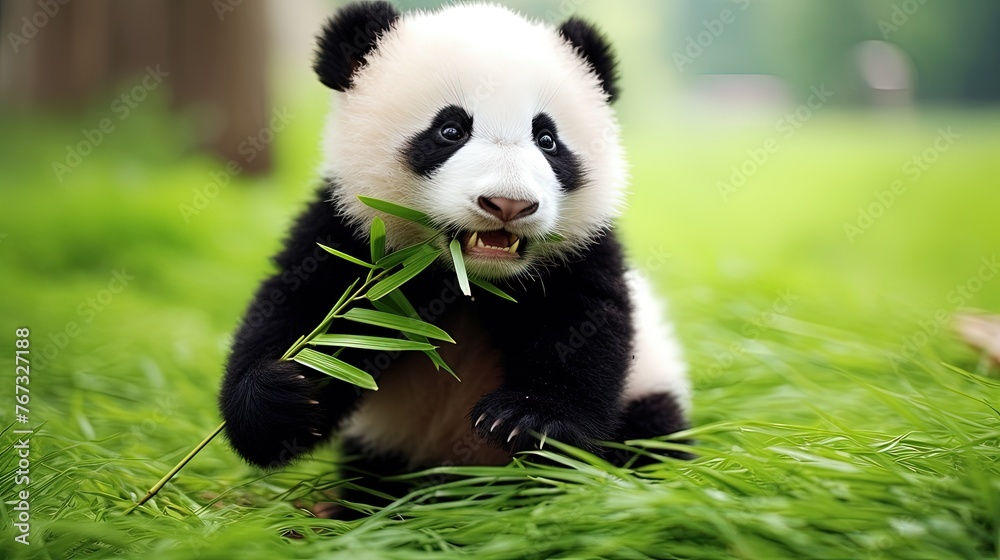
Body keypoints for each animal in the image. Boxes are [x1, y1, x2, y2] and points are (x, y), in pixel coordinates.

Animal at [219, 1, 690, 490]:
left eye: (547, 139)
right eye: (450, 130)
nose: (508, 203)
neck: (470, 279)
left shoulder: (579, 251)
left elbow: (584, 330)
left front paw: (526, 420)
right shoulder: (349, 236)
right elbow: (307, 314)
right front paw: (284, 396)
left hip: (648, 393)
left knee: (649, 437)